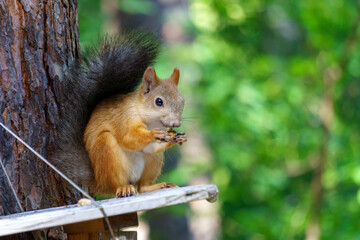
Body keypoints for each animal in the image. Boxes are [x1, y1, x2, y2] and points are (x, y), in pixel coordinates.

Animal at [52, 31, 187, 197]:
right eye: (159, 101)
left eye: (182, 101)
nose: (176, 123)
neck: (149, 120)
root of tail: (99, 182)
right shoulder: (124, 118)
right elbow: (128, 138)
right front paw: (153, 134)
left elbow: (150, 148)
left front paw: (176, 137)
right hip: (107, 151)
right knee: (117, 184)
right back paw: (123, 188)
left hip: (153, 161)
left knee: (142, 187)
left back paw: (157, 186)